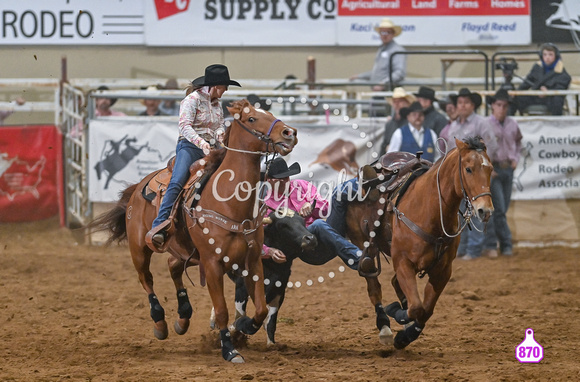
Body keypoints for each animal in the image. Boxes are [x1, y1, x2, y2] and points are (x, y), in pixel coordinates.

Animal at [92, 100, 300, 362]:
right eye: (251, 118)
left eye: (270, 113)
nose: (290, 133)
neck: (230, 201)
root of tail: (139, 186)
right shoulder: (212, 264)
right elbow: (221, 311)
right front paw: (230, 350)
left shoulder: (252, 262)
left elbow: (261, 309)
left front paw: (242, 327)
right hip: (139, 248)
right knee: (146, 279)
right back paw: (160, 323)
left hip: (187, 253)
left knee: (172, 266)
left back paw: (183, 318)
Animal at [346, 137, 492, 350]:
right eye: (468, 169)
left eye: (490, 169)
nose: (485, 210)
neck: (430, 211)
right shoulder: (403, 262)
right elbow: (416, 308)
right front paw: (396, 313)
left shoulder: (442, 271)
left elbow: (425, 310)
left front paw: (405, 336)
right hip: (364, 246)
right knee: (374, 285)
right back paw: (384, 326)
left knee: (395, 284)